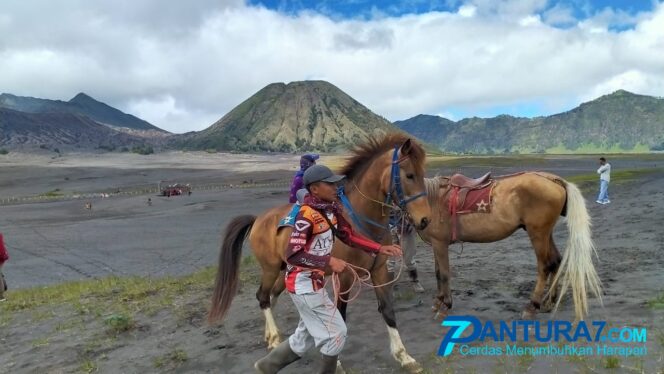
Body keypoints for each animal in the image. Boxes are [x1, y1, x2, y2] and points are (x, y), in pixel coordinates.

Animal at [210, 134, 434, 372]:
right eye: (409, 175)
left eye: (423, 174)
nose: (424, 220)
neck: (360, 217)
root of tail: (258, 219)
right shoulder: (345, 276)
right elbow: (340, 316)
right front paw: (337, 362)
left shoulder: (379, 271)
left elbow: (388, 311)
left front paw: (404, 356)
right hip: (270, 268)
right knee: (262, 296)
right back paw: (274, 338)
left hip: (284, 270)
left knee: (272, 296)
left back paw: (272, 335)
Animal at [422, 172, 604, 322]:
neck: (432, 199)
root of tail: (555, 180)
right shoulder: (436, 244)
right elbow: (438, 273)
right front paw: (438, 302)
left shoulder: (440, 243)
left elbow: (444, 274)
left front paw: (445, 306)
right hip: (546, 233)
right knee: (556, 261)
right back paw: (549, 302)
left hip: (538, 234)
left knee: (545, 266)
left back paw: (532, 306)